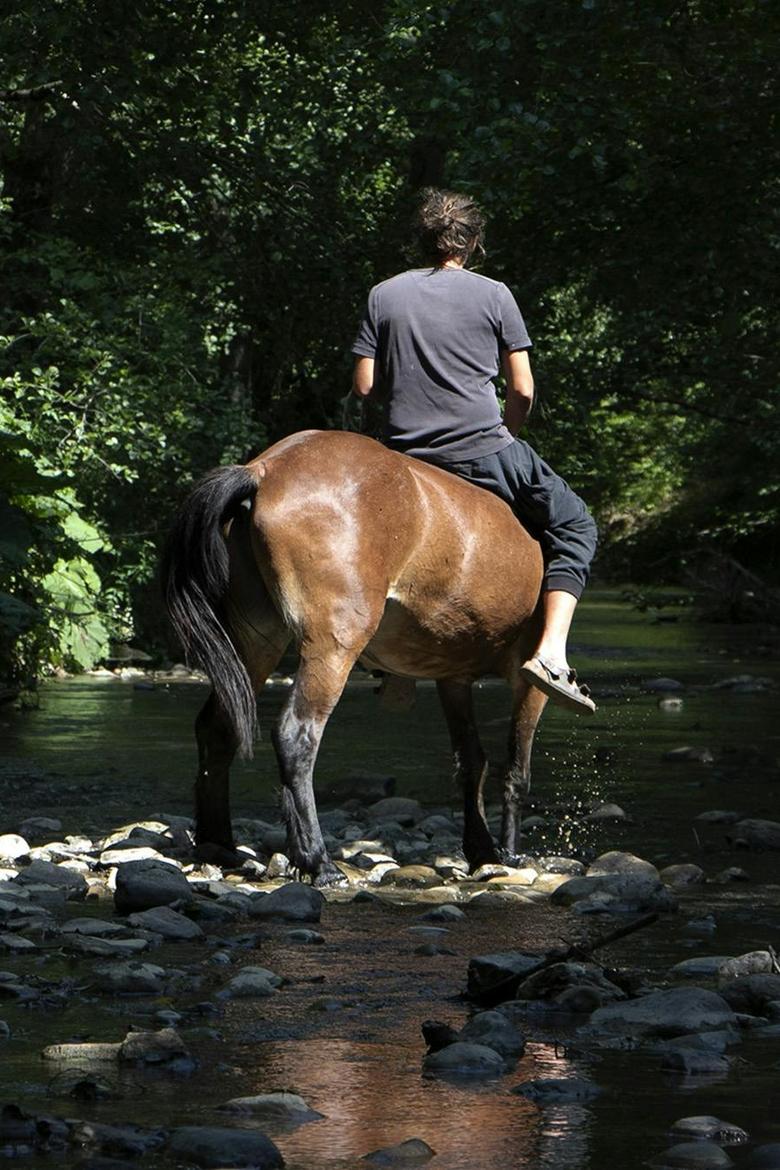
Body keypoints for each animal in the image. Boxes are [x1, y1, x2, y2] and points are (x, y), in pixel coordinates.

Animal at [161, 430, 547, 884]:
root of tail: (264, 470)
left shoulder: (453, 677)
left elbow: (472, 762)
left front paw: (482, 849)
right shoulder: (529, 678)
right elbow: (517, 770)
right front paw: (508, 852)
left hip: (257, 641)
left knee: (217, 728)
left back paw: (218, 843)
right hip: (333, 645)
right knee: (297, 735)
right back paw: (317, 860)